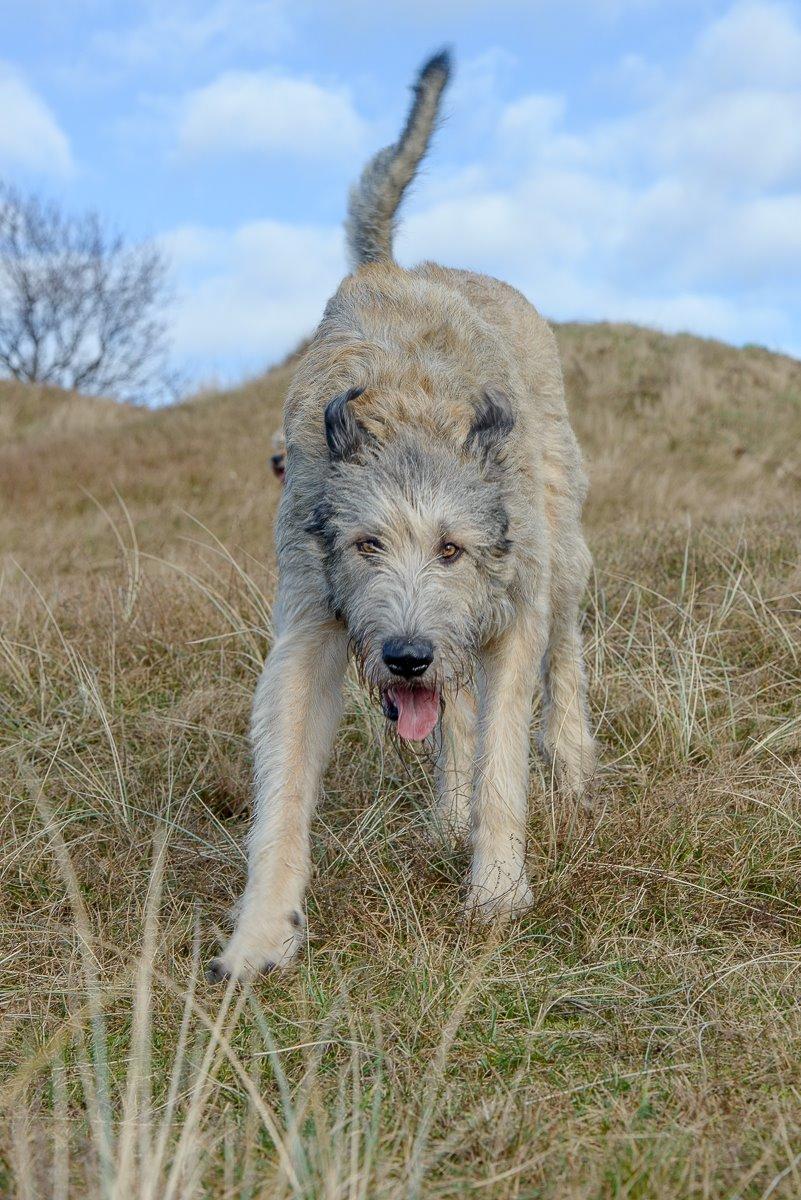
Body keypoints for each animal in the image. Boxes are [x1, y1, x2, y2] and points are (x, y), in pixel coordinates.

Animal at [209, 51, 597, 979]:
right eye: (366, 544)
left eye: (451, 549)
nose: (407, 655)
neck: (413, 421)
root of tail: (397, 266)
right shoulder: (312, 621)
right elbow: (284, 783)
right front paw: (260, 932)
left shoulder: (509, 607)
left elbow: (502, 753)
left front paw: (497, 890)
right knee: (451, 718)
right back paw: (445, 815)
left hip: (559, 543)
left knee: (563, 651)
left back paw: (568, 760)